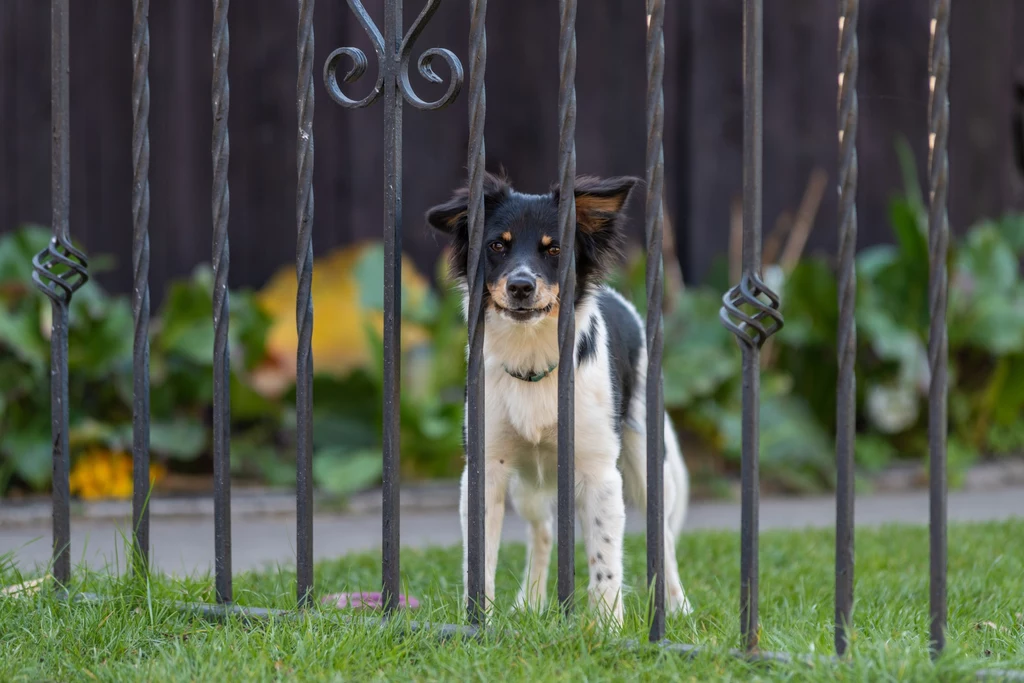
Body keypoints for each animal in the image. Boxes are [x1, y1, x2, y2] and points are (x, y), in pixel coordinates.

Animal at [423, 171, 696, 626]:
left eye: (554, 249)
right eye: (497, 245)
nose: (521, 286)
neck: (531, 358)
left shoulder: (600, 473)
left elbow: (606, 561)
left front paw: (607, 628)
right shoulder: (485, 469)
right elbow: (481, 562)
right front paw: (480, 624)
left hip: (646, 460)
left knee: (665, 539)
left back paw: (677, 605)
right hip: (528, 487)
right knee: (544, 531)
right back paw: (530, 601)